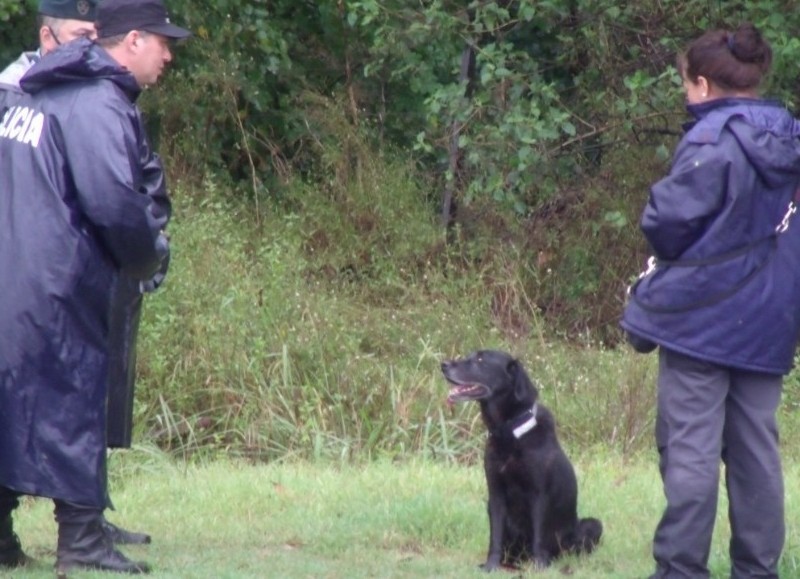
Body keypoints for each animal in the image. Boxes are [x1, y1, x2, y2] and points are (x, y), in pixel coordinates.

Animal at [440, 348, 604, 572]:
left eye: (481, 359)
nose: (443, 365)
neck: (508, 432)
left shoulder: (539, 495)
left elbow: (539, 536)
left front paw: (539, 565)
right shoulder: (495, 494)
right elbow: (495, 537)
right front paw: (491, 566)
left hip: (592, 525)